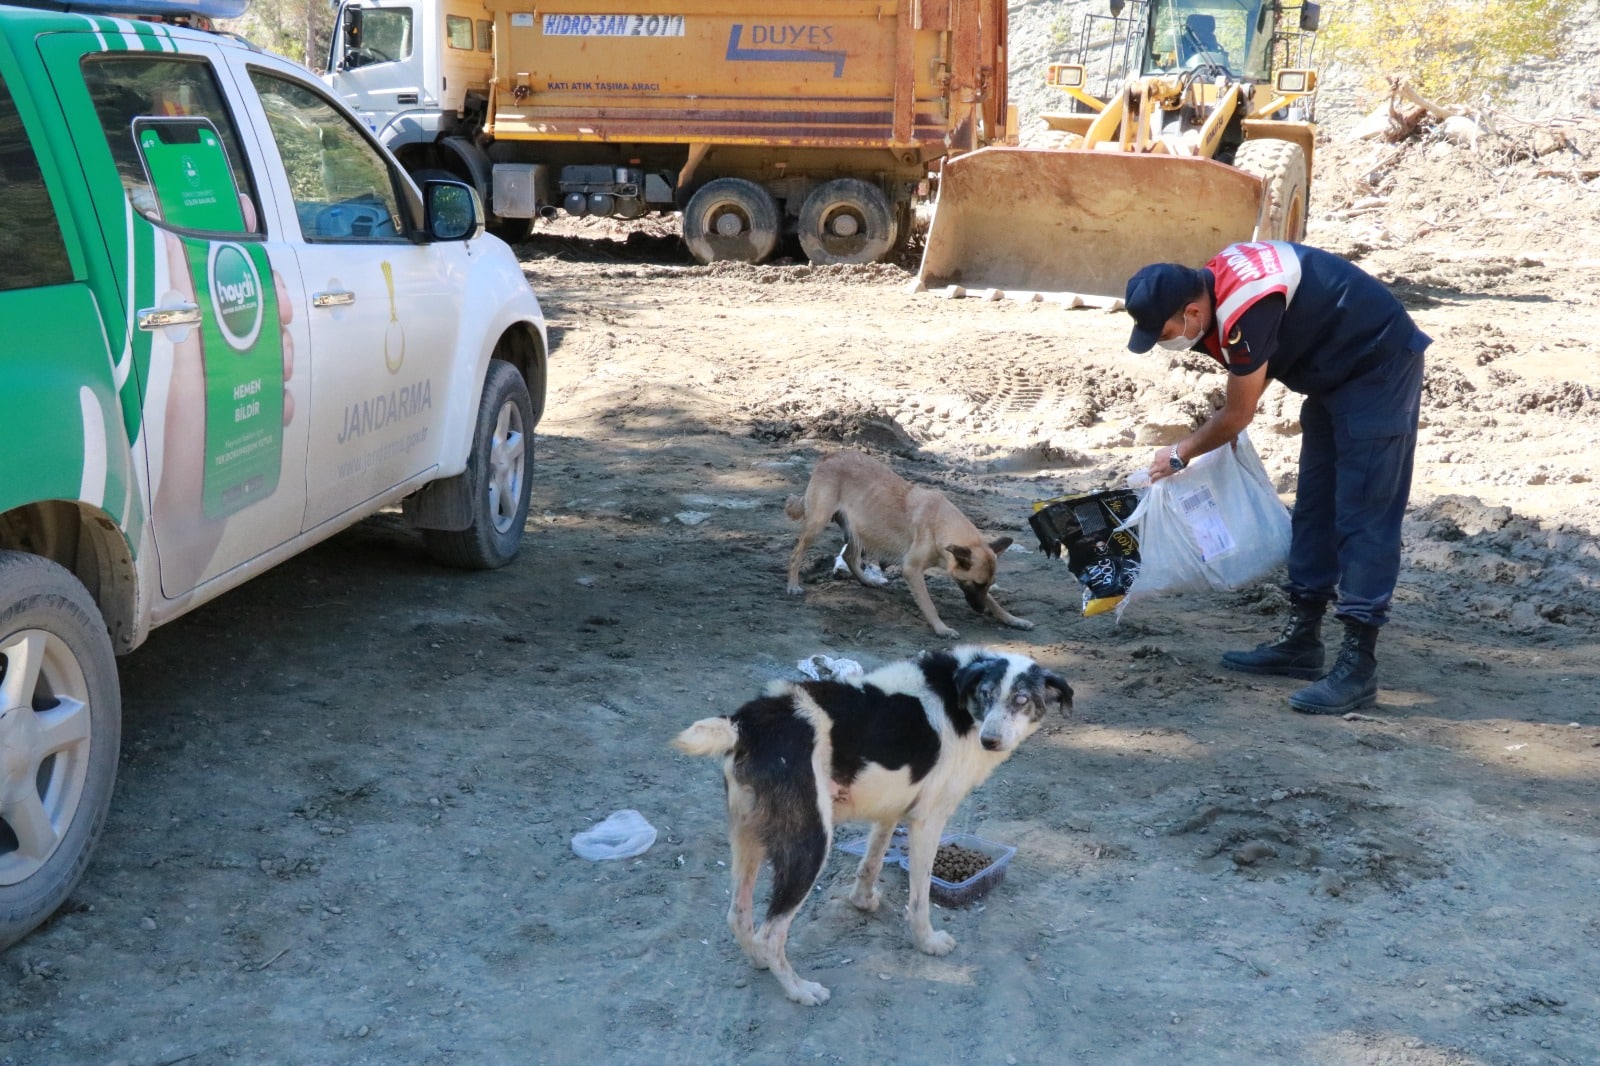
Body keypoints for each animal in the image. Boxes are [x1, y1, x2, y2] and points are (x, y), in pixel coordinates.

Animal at [668, 643, 1068, 998]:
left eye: (1021, 700)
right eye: (987, 694)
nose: (990, 741)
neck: (961, 700)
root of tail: (746, 722)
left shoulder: (892, 809)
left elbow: (871, 862)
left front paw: (862, 901)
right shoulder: (928, 820)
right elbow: (920, 898)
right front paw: (927, 942)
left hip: (748, 836)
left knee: (738, 915)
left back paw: (758, 960)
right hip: (811, 844)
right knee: (771, 933)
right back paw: (799, 990)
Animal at [787, 451, 1036, 640]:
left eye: (988, 584)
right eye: (976, 583)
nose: (982, 611)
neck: (941, 523)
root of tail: (828, 456)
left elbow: (996, 602)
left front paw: (1012, 619)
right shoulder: (912, 570)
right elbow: (929, 604)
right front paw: (941, 628)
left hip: (860, 530)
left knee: (849, 555)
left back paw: (867, 581)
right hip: (819, 524)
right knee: (796, 553)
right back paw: (793, 585)